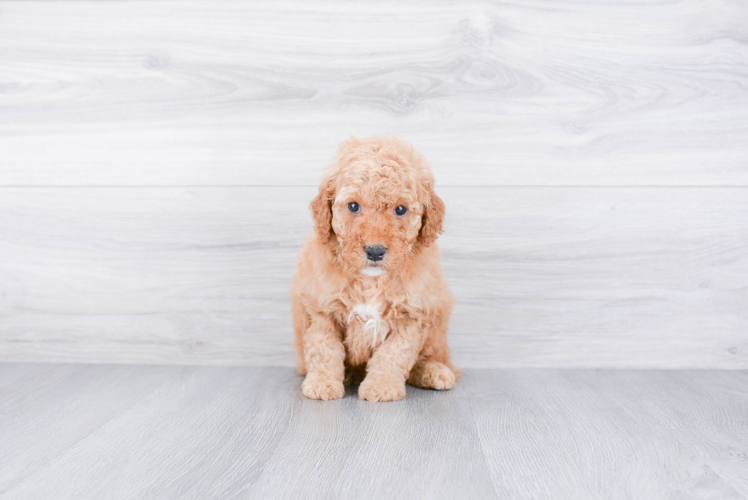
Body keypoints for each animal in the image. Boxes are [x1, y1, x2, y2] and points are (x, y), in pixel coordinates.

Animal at [290, 137, 456, 402]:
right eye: (353, 206)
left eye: (400, 209)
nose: (375, 251)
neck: (371, 281)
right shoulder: (321, 310)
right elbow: (324, 349)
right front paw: (323, 383)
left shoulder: (413, 314)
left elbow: (394, 354)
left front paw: (382, 386)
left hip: (438, 323)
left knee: (430, 356)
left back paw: (433, 371)